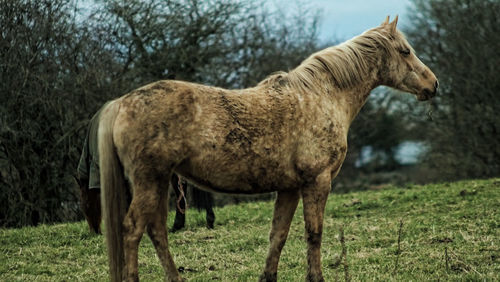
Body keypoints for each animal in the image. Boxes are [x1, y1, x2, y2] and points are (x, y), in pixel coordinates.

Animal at [96, 16, 438, 280]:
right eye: (405, 51)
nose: (432, 84)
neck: (322, 96)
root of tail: (122, 103)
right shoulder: (317, 181)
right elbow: (314, 233)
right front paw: (316, 277)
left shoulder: (289, 188)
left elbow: (278, 235)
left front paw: (268, 276)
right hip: (150, 181)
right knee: (132, 230)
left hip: (160, 181)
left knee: (156, 232)